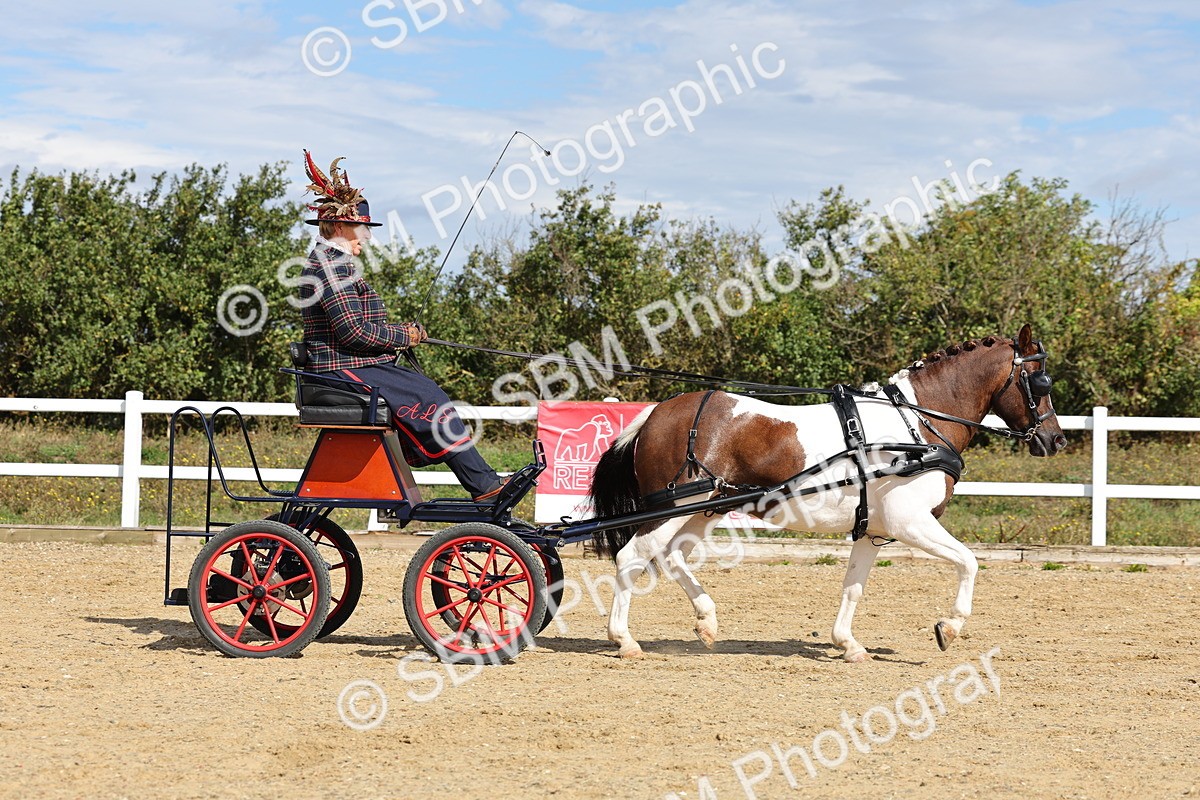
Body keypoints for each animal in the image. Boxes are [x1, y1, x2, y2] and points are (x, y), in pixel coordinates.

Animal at [587, 324, 1066, 662]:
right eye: (1040, 381)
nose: (1056, 440)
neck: (916, 425)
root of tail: (655, 413)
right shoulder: (911, 523)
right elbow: (968, 561)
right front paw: (948, 628)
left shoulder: (874, 531)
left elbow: (853, 586)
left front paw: (848, 644)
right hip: (673, 507)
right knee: (632, 557)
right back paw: (624, 640)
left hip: (702, 510)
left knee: (671, 556)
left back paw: (706, 622)